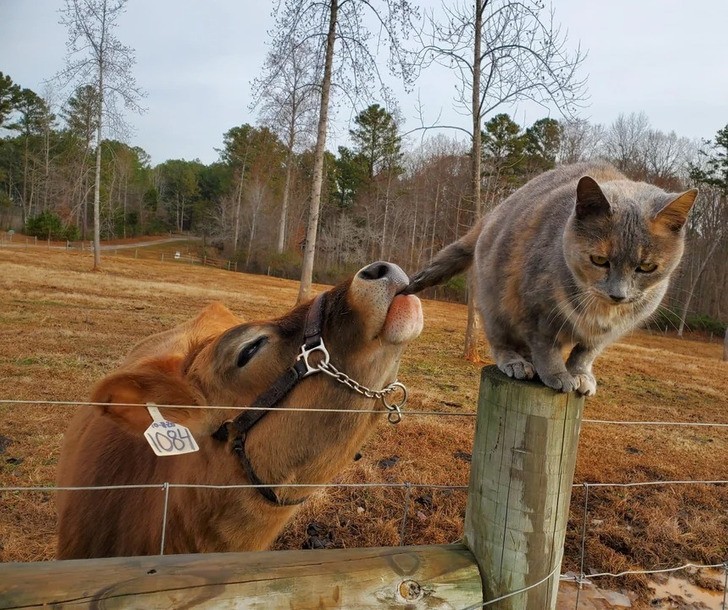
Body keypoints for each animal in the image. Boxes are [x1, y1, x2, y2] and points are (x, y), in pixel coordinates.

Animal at [406, 162, 696, 396]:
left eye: (646, 267)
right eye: (599, 260)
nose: (618, 294)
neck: (599, 310)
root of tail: (488, 217)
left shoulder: (608, 332)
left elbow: (585, 352)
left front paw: (580, 375)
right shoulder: (535, 312)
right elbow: (547, 348)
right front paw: (558, 375)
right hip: (495, 301)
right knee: (501, 340)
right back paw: (518, 363)